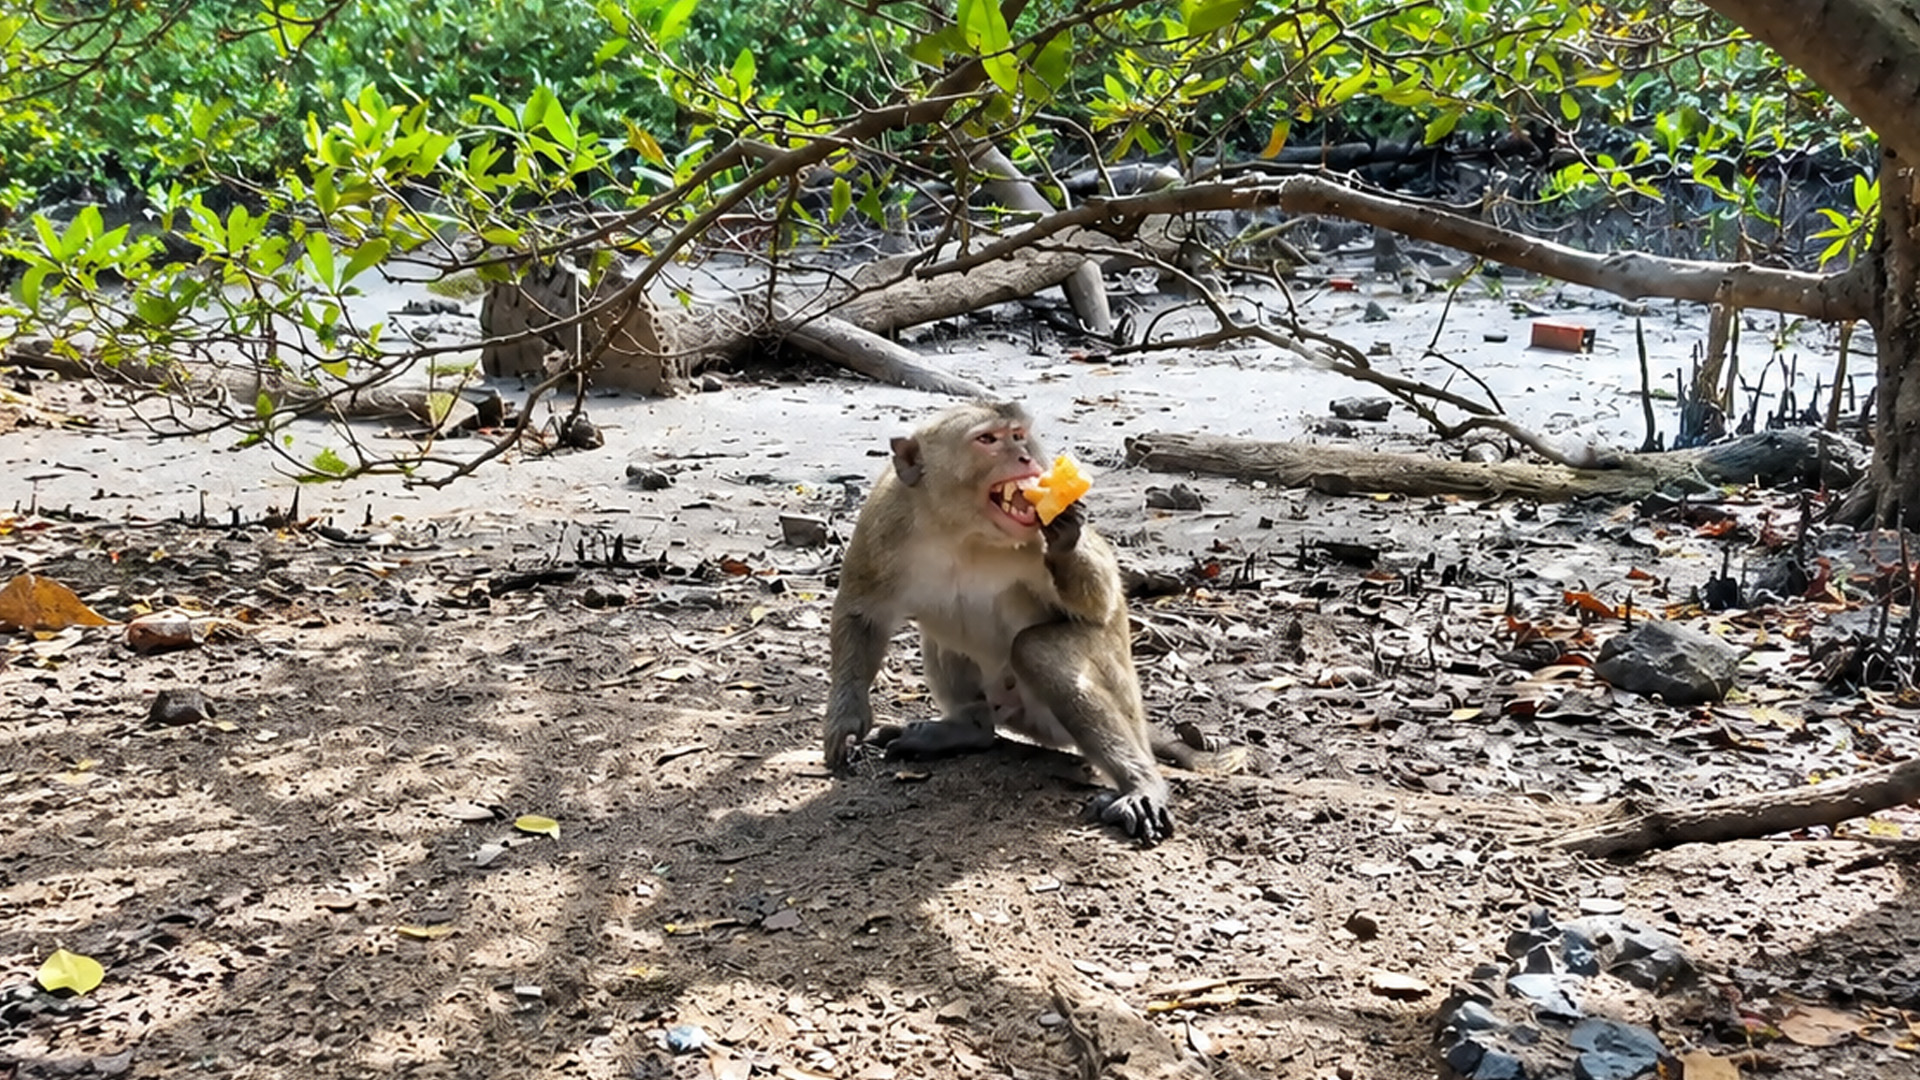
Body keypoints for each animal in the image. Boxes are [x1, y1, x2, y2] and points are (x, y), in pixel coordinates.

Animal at [822, 401, 1174, 844]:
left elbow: (1100, 603)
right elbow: (861, 614)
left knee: (1035, 648)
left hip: (1105, 696)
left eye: (1019, 436)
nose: (1024, 457)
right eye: (988, 440)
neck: (962, 530)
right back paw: (968, 729)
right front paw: (848, 719)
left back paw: (1140, 783)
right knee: (944, 638)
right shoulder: (884, 518)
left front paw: (1065, 537)